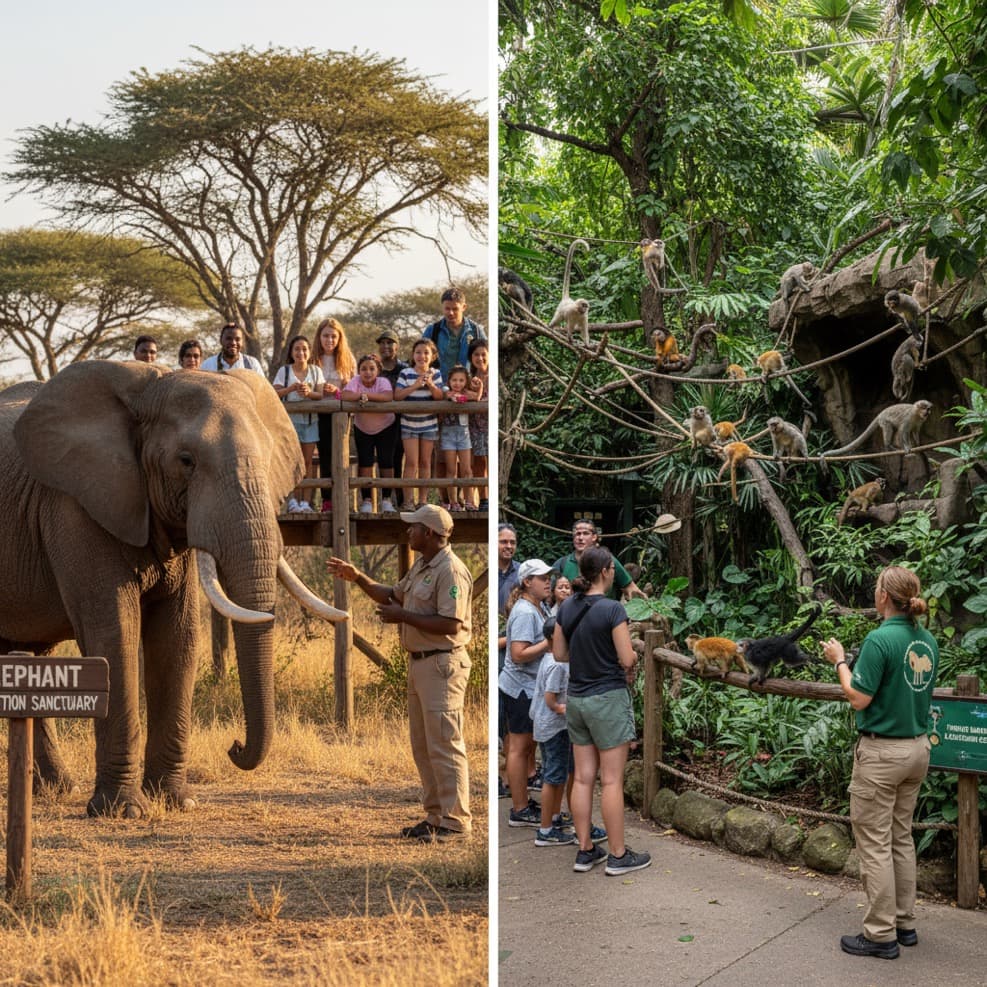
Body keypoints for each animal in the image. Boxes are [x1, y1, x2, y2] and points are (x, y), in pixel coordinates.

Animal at [0, 360, 346, 817]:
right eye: (186, 461)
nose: (234, 746)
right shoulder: (73, 506)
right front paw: (122, 811)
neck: (151, 384)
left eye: (269, 458)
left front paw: (177, 801)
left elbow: (177, 636)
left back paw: (55, 789)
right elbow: (115, 634)